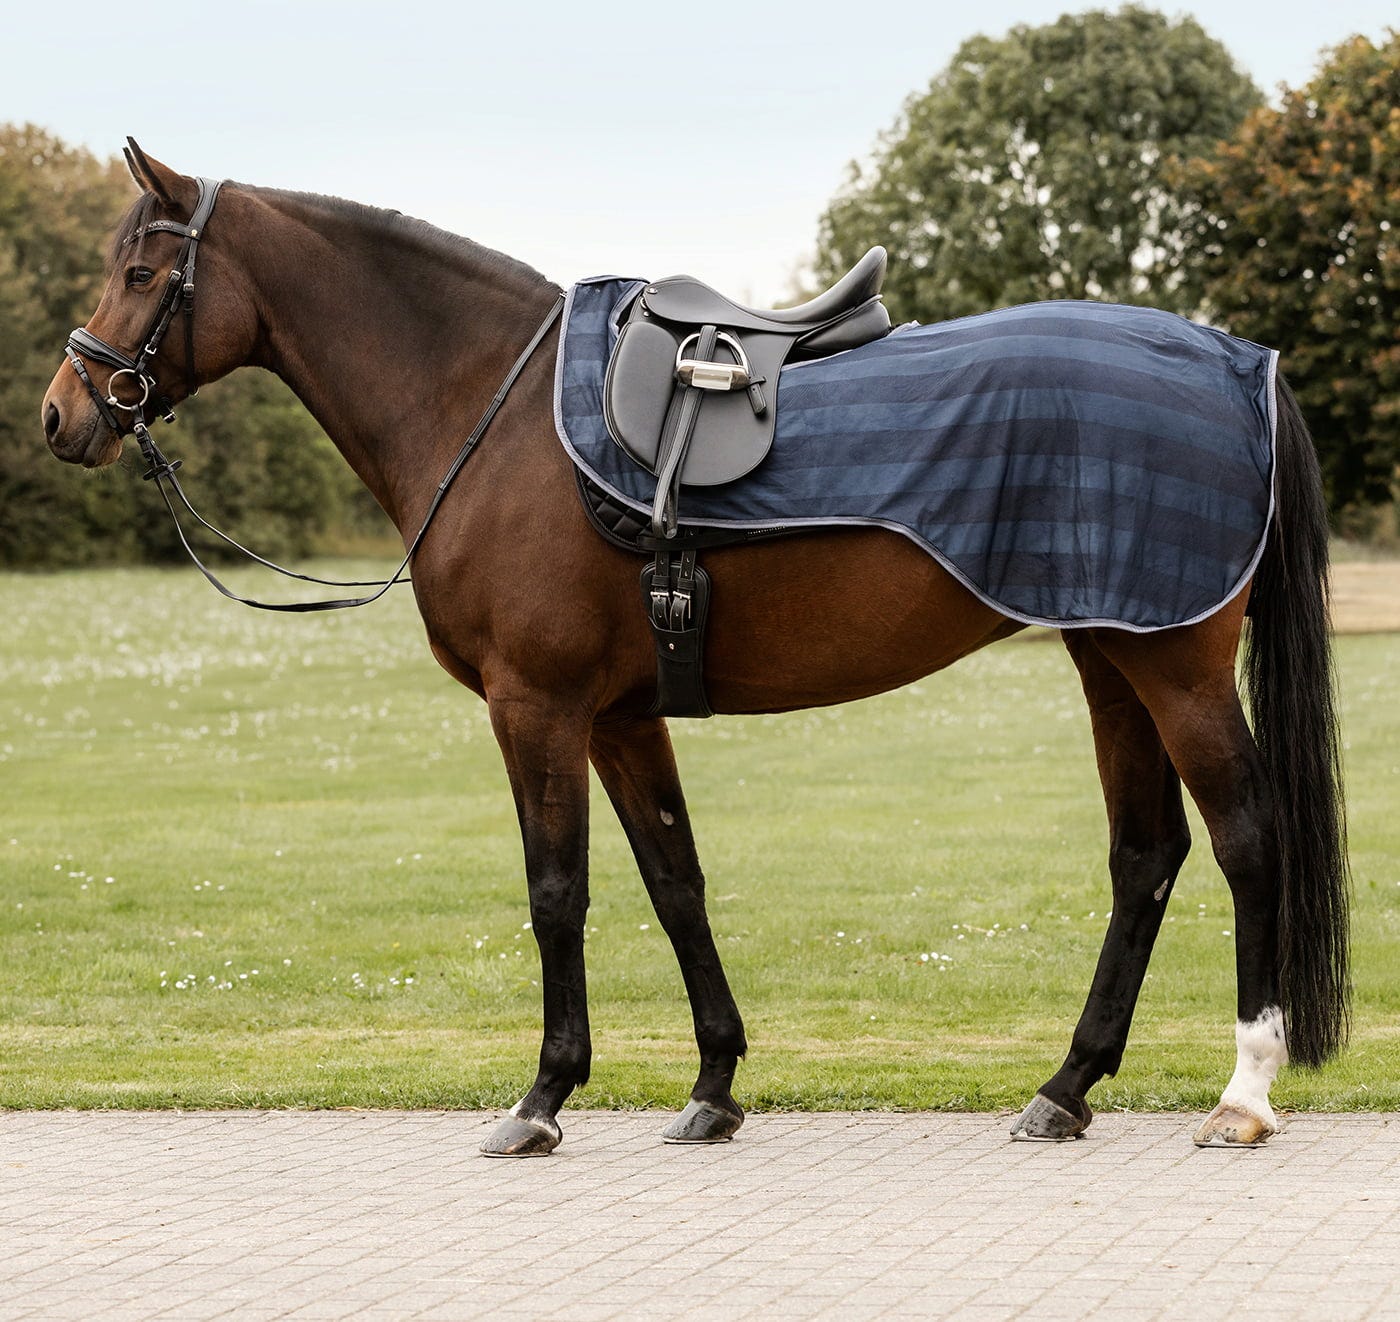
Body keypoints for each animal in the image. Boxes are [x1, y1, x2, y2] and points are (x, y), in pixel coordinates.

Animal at [41, 142, 1349, 1156]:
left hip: (1173, 666)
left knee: (1244, 837)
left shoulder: (535, 705)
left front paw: (542, 1095)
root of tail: (1238, 362)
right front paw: (713, 1084)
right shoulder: (621, 715)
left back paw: (1240, 1092)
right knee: (1144, 855)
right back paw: (1063, 1087)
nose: (63, 413)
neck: (490, 408)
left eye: (143, 272)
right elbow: (675, 881)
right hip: (1107, 657)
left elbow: (556, 891)